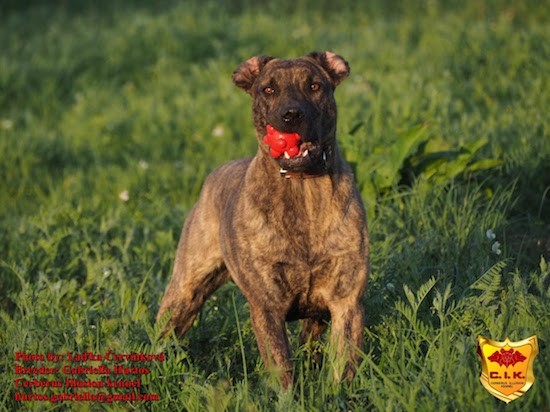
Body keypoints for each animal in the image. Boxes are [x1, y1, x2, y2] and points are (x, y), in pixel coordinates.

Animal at [156, 50, 370, 386]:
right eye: (268, 90)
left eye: (314, 86)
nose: (291, 115)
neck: (303, 191)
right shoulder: (267, 307)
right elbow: (282, 367)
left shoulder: (346, 300)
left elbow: (343, 362)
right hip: (186, 289)